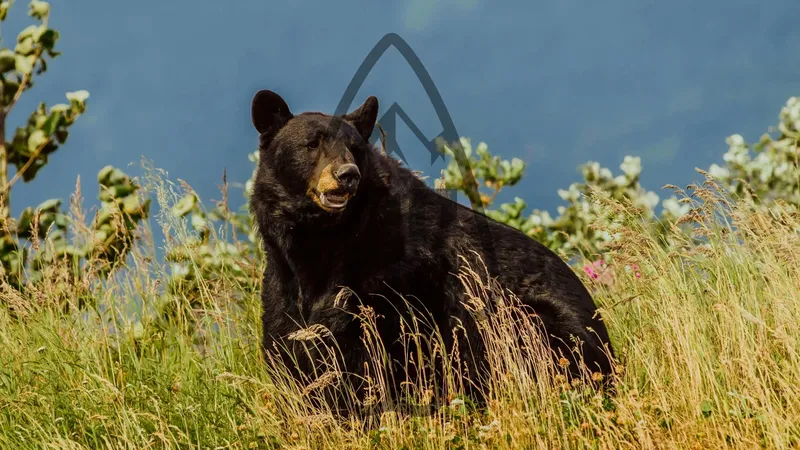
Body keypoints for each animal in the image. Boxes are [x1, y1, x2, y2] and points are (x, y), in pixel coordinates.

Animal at [248, 89, 615, 415]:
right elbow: (288, 347)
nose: (347, 175)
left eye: (355, 149)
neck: (321, 242)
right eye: (312, 144)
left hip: (535, 323)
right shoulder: (283, 281)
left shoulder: (394, 280)